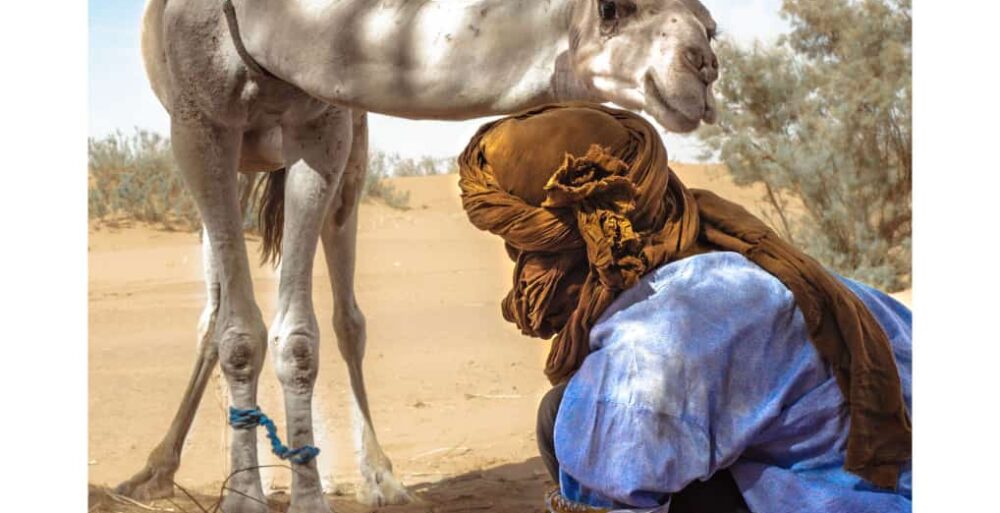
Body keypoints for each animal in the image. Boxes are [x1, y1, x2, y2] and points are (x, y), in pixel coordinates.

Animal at [117, 1, 720, 508]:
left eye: (709, 35)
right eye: (613, 10)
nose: (706, 59)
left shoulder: (323, 127)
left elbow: (301, 339)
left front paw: (310, 497)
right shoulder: (200, 130)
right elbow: (239, 337)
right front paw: (244, 497)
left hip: (348, 152)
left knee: (344, 318)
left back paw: (380, 477)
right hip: (231, 163)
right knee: (215, 313)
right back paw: (154, 471)